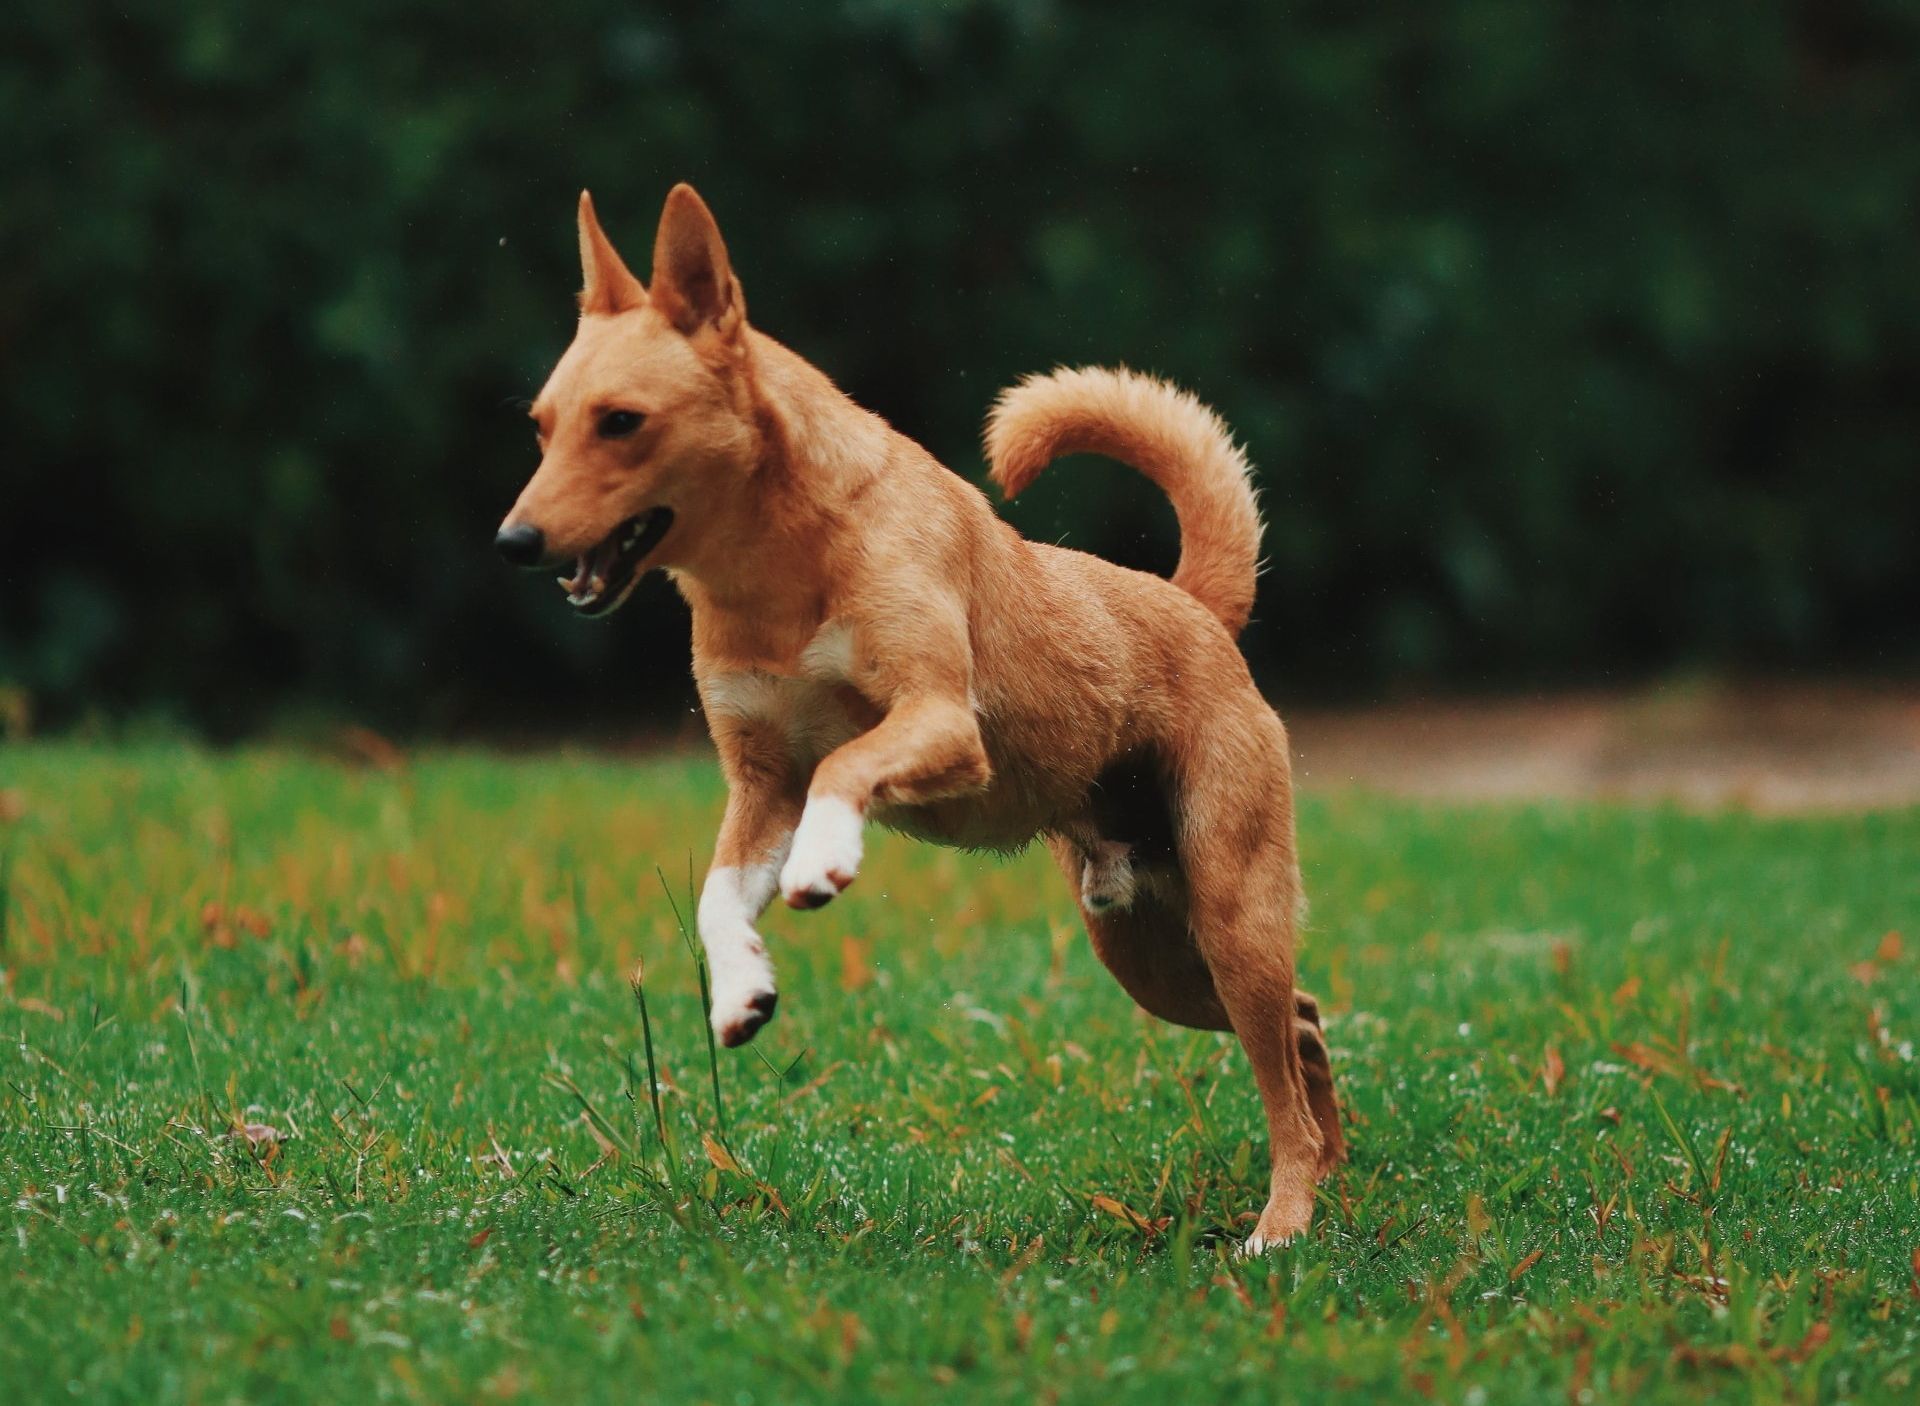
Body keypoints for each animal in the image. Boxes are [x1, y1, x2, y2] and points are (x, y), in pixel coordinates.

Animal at [495, 186, 1344, 1252]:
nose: (513, 541)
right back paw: (1336, 1179)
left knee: (1284, 1078)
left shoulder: (939, 723)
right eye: (540, 427)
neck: (778, 575)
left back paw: (1284, 1226)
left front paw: (824, 862)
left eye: (621, 423)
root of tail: (1190, 604)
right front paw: (742, 991)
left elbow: (844, 767)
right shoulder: (757, 783)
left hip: (1231, 913)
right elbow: (718, 894)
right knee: (1304, 1033)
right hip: (1149, 955)